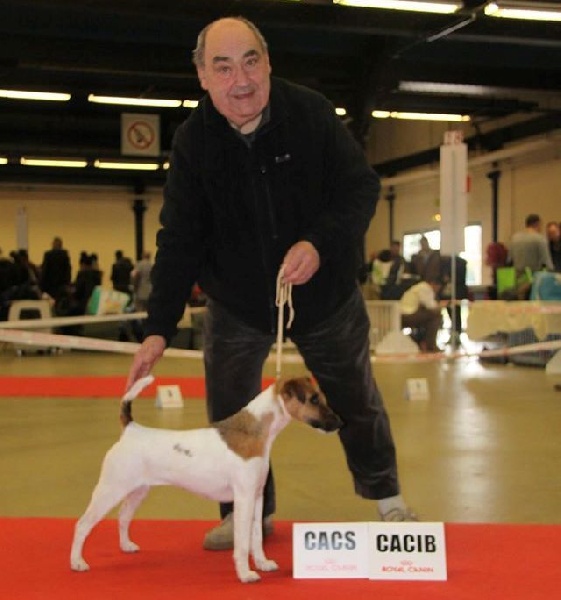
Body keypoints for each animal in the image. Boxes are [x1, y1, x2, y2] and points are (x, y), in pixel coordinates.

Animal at [70, 376, 342, 583]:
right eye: (314, 399)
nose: (339, 422)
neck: (254, 431)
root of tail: (130, 429)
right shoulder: (243, 498)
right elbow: (242, 542)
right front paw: (246, 574)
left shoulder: (257, 497)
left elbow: (256, 537)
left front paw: (263, 563)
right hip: (110, 489)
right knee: (83, 525)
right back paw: (77, 562)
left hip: (138, 490)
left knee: (123, 517)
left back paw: (127, 546)